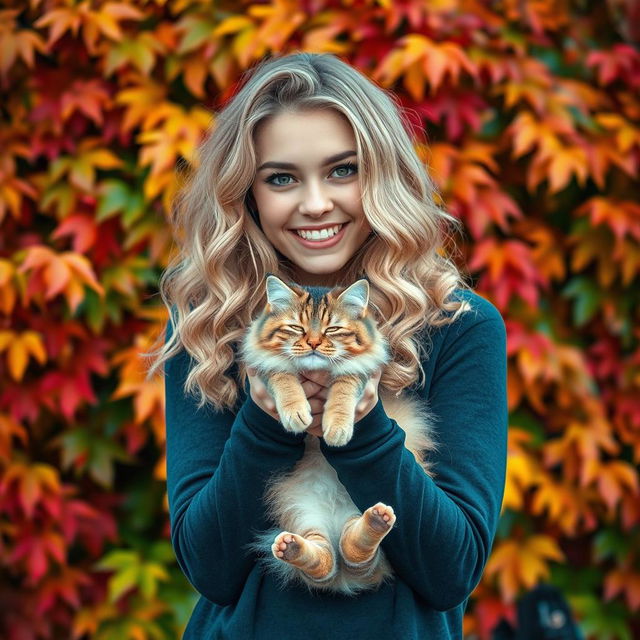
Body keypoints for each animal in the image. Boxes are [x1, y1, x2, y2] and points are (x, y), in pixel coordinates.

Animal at [241, 276, 436, 596]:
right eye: (297, 328)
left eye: (332, 329)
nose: (313, 343)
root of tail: (347, 579)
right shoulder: (268, 370)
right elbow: (285, 379)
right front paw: (296, 414)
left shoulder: (359, 375)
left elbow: (344, 390)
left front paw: (337, 429)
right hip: (301, 513)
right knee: (324, 559)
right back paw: (293, 548)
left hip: (355, 522)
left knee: (352, 549)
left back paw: (375, 523)